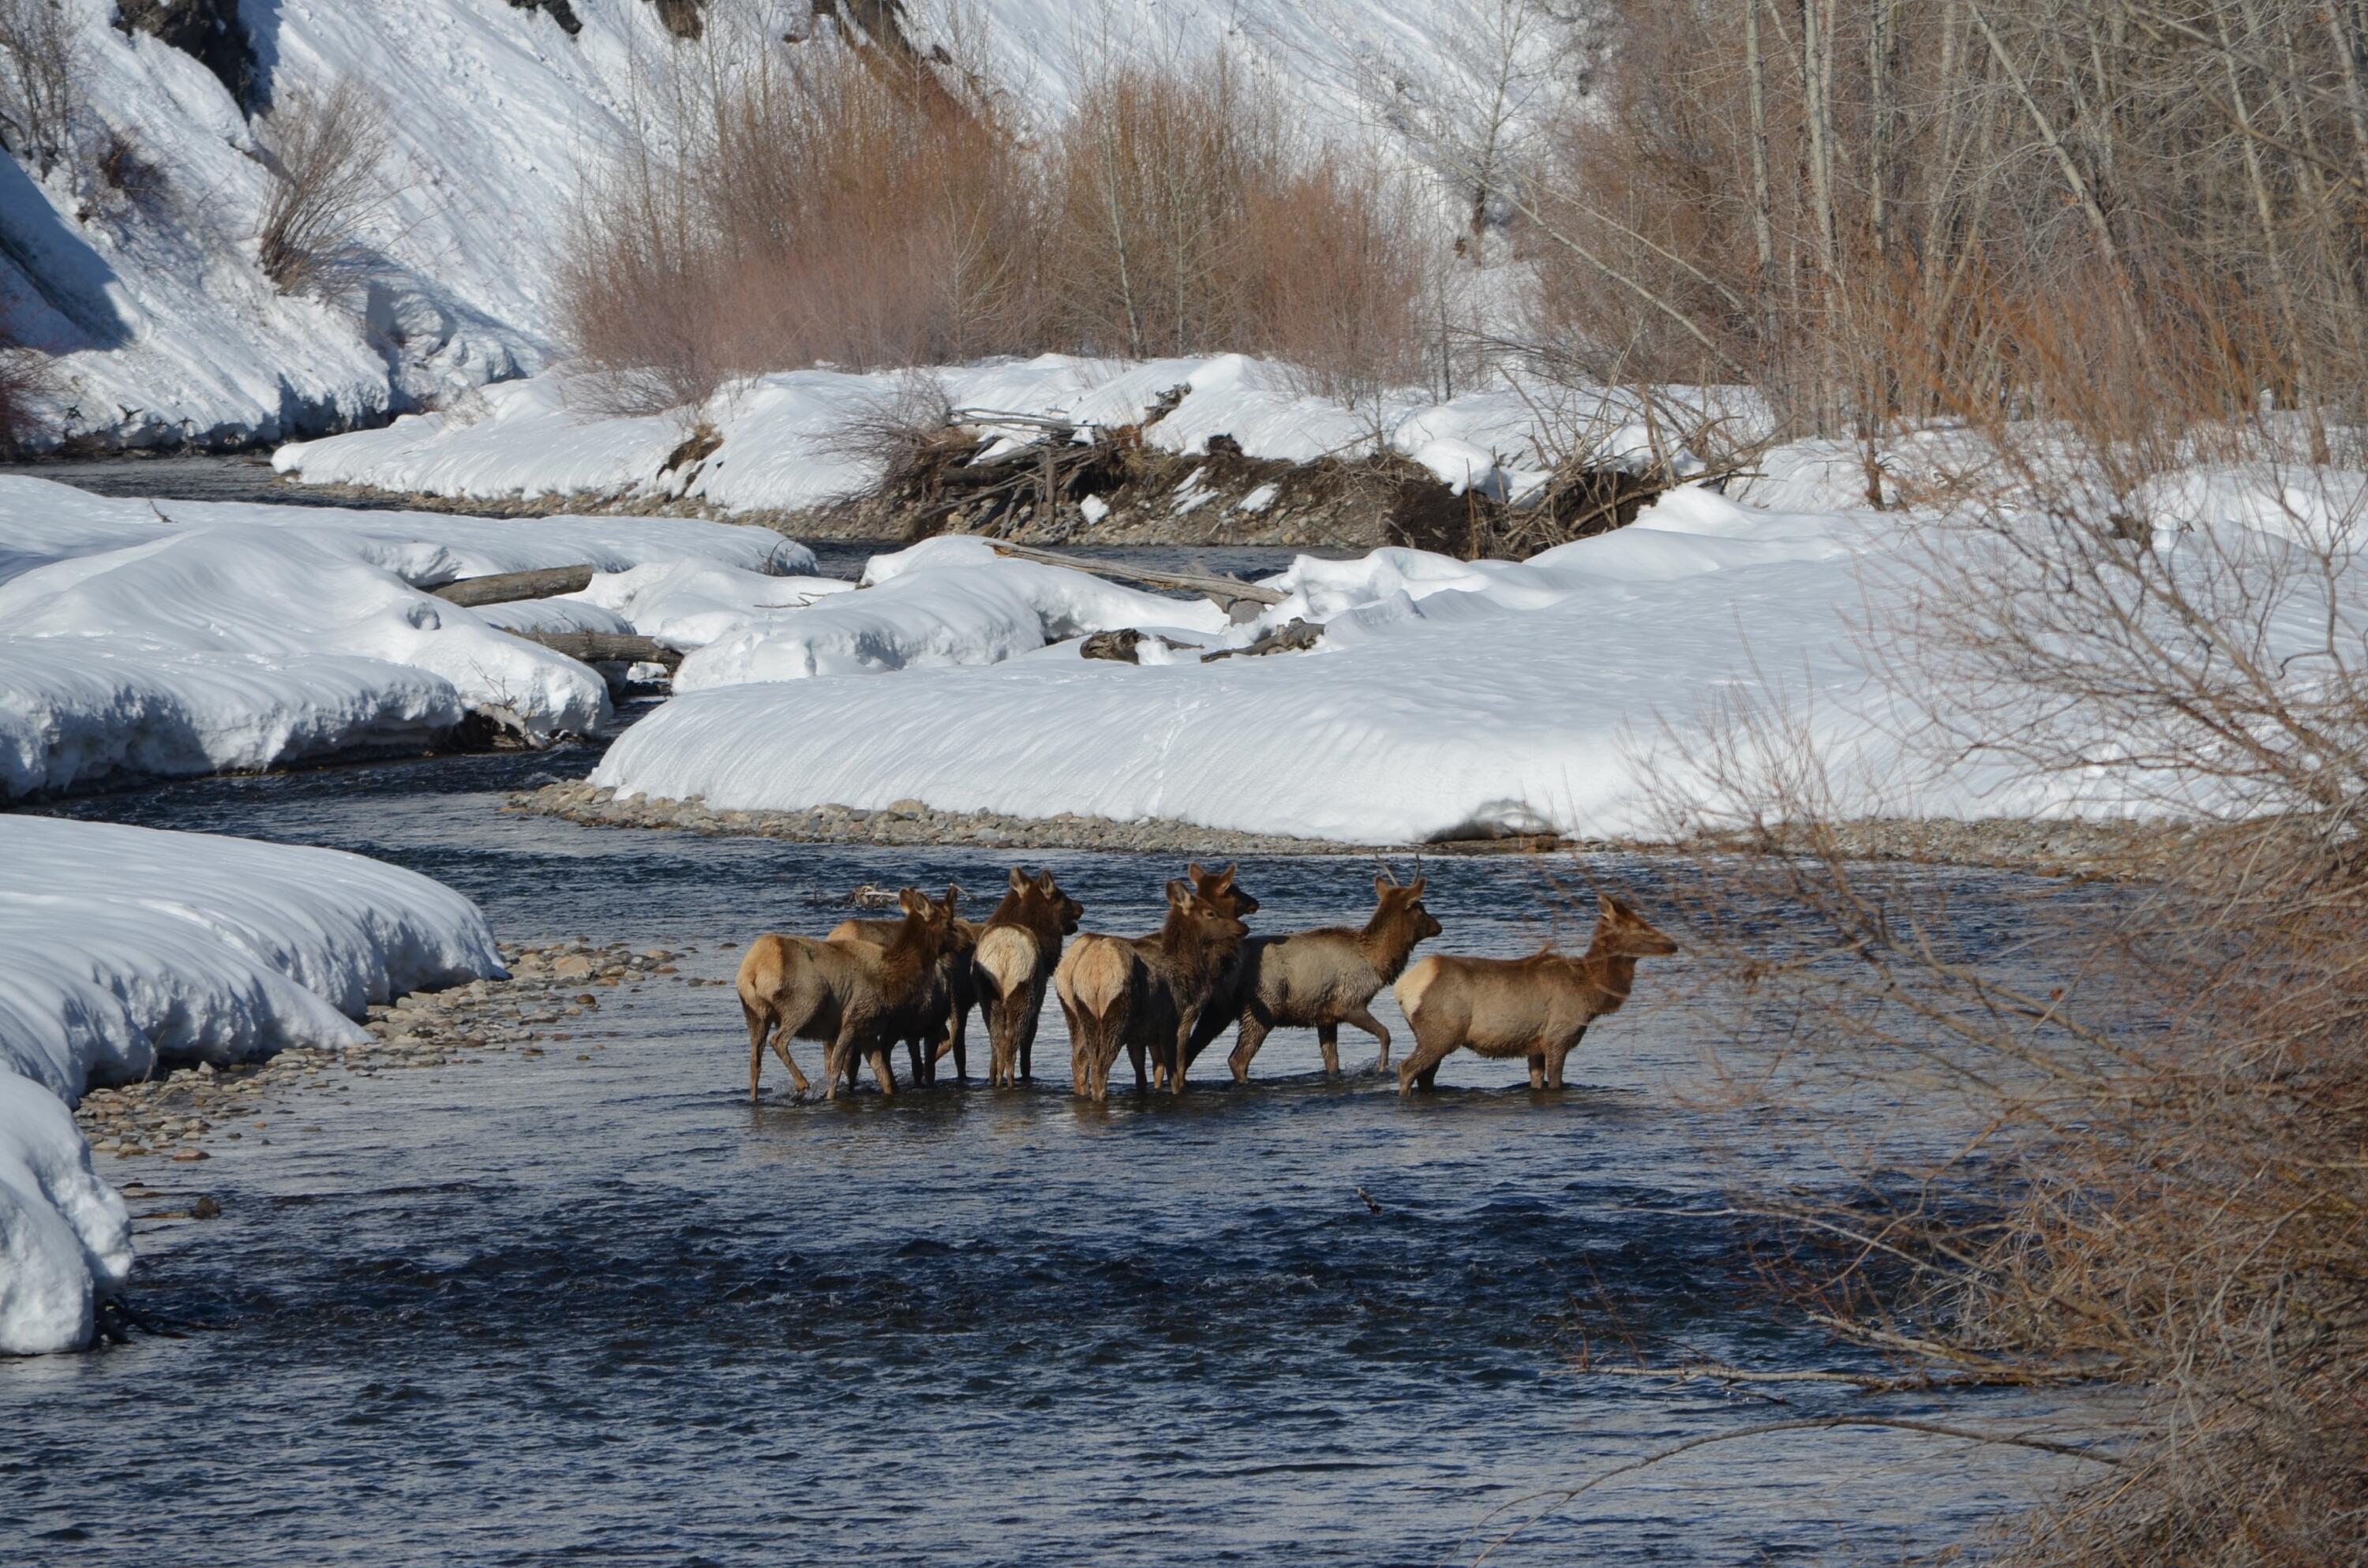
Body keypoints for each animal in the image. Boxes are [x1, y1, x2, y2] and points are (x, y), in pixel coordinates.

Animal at [735, 886, 954, 1103]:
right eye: (948, 921)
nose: (959, 944)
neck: (893, 978)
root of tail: (752, 971)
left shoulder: (868, 1031)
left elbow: (882, 1074)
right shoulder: (852, 1021)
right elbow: (837, 1069)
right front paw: (830, 1096)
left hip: (754, 1013)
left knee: (755, 1064)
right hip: (810, 998)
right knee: (779, 1040)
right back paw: (802, 1083)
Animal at [969, 867, 1085, 1088]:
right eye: (1062, 897)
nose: (1081, 907)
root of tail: (1004, 956)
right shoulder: (1038, 1000)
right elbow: (1029, 1040)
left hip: (989, 998)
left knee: (997, 1042)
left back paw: (995, 1079)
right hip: (1022, 995)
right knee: (1010, 1044)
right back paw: (1012, 1081)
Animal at [1056, 880, 1252, 1101]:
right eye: (1211, 913)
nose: (1243, 927)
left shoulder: (1139, 1035)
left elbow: (1144, 1074)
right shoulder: (1178, 1017)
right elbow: (1175, 1068)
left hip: (1077, 1014)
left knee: (1080, 1062)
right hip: (1114, 1013)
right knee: (1101, 1067)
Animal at [1210, 870, 1442, 1082]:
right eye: (1420, 908)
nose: (1438, 926)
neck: (1376, 961)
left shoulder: (1326, 1016)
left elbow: (1333, 1063)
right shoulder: (1349, 1002)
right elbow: (1385, 1034)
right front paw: (1382, 1068)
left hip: (1224, 1010)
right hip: (1263, 1005)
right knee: (1238, 1059)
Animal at [1391, 893, 1678, 1094]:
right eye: (1639, 927)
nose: (1673, 944)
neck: (1590, 991)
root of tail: (1402, 987)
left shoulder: (1534, 1044)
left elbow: (1536, 1081)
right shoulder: (1558, 1035)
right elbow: (1557, 1082)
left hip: (1432, 1035)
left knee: (1425, 1076)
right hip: (1442, 1032)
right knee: (1406, 1068)